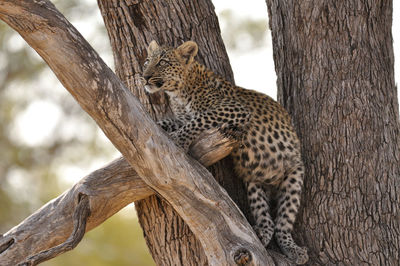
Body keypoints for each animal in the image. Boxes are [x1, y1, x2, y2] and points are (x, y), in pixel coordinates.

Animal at [143, 40, 310, 264]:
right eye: (147, 61)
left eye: (162, 62)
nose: (145, 76)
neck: (179, 93)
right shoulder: (183, 117)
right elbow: (172, 121)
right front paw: (159, 126)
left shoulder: (233, 109)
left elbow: (200, 119)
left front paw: (179, 139)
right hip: (254, 183)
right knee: (267, 220)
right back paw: (262, 233)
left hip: (294, 177)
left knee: (283, 223)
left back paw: (294, 250)